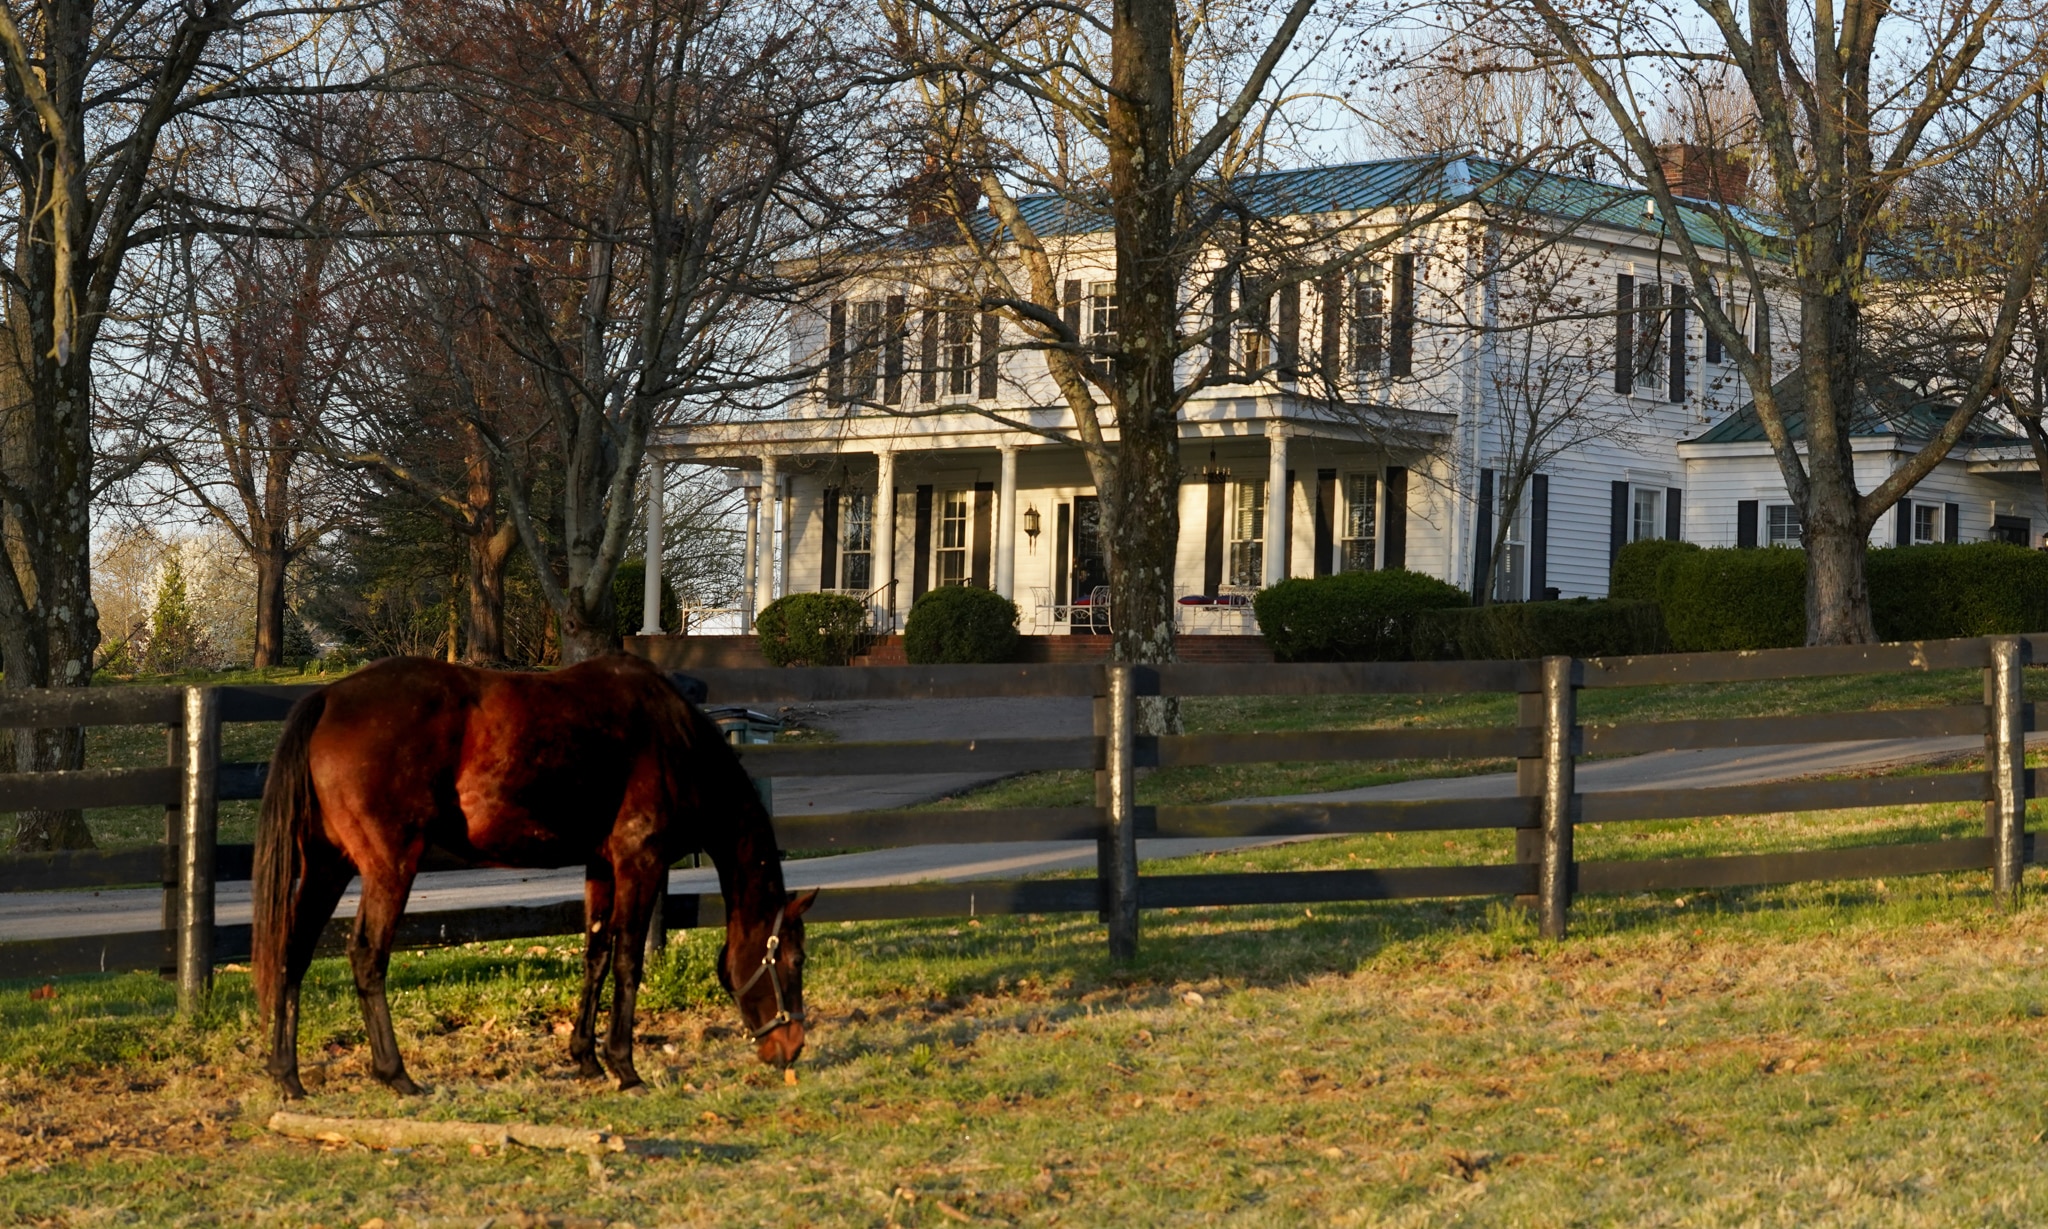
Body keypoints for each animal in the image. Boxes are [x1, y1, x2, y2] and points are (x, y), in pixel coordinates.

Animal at [260, 651, 819, 1097]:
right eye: (794, 960)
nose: (792, 1047)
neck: (673, 740)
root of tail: (329, 697)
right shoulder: (640, 862)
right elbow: (628, 961)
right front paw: (625, 1068)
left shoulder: (601, 865)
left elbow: (596, 955)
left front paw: (586, 1059)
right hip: (389, 866)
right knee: (367, 956)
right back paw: (395, 1074)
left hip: (327, 867)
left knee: (294, 951)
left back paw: (288, 1076)